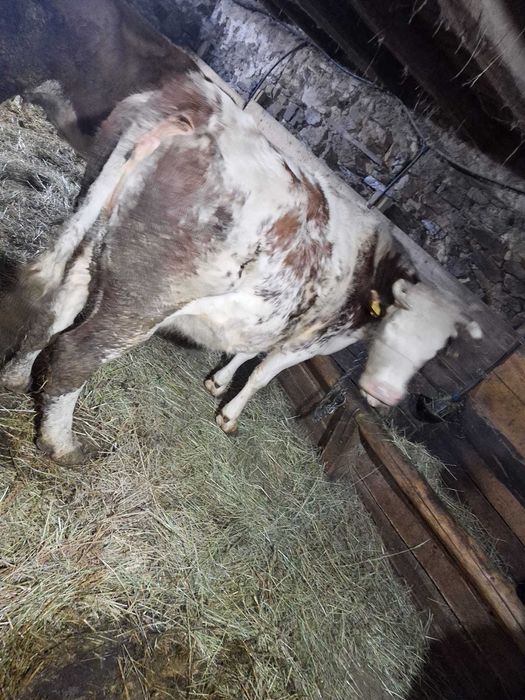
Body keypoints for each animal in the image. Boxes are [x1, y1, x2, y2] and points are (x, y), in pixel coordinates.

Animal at [0, 70, 482, 464]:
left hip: (93, 233)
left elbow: (248, 349)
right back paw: (62, 444)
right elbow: (263, 373)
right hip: (145, 297)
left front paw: (218, 381)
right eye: (397, 318)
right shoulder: (310, 340)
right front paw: (229, 415)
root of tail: (205, 109)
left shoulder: (279, 316)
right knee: (77, 352)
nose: (384, 394)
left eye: (436, 350)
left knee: (57, 307)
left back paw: (17, 377)